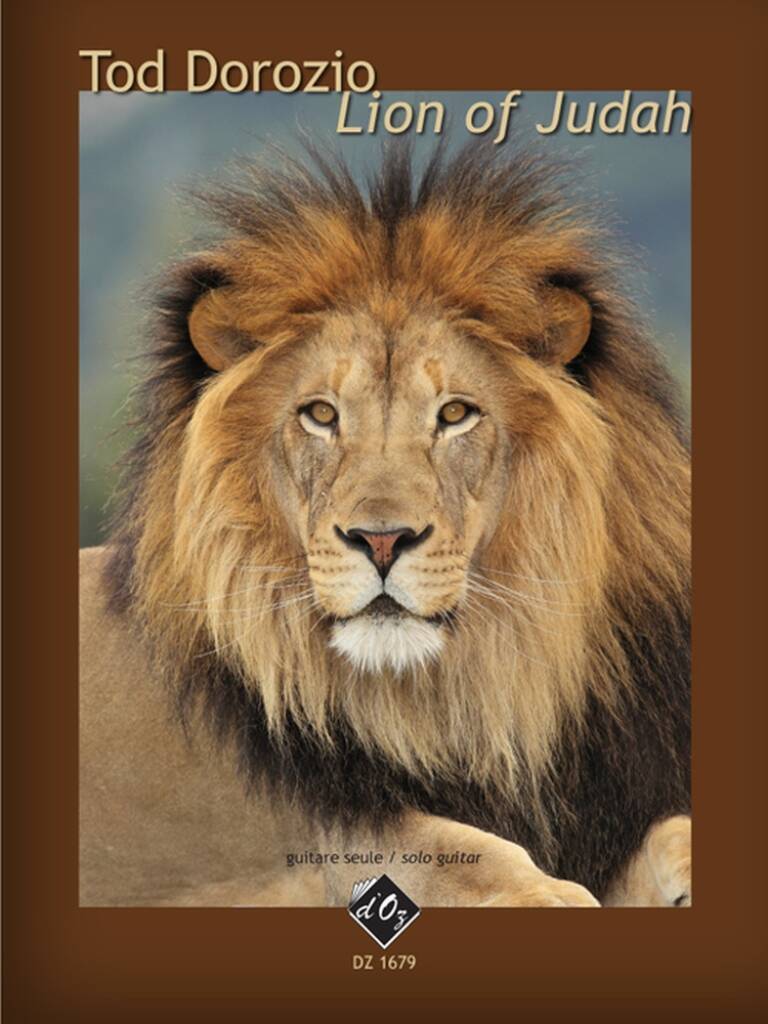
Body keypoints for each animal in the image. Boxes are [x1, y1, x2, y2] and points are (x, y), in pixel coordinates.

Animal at [79, 145, 691, 908]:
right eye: (321, 414)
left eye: (455, 413)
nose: (380, 541)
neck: (474, 689)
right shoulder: (320, 824)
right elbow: (453, 849)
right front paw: (551, 896)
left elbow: (668, 827)